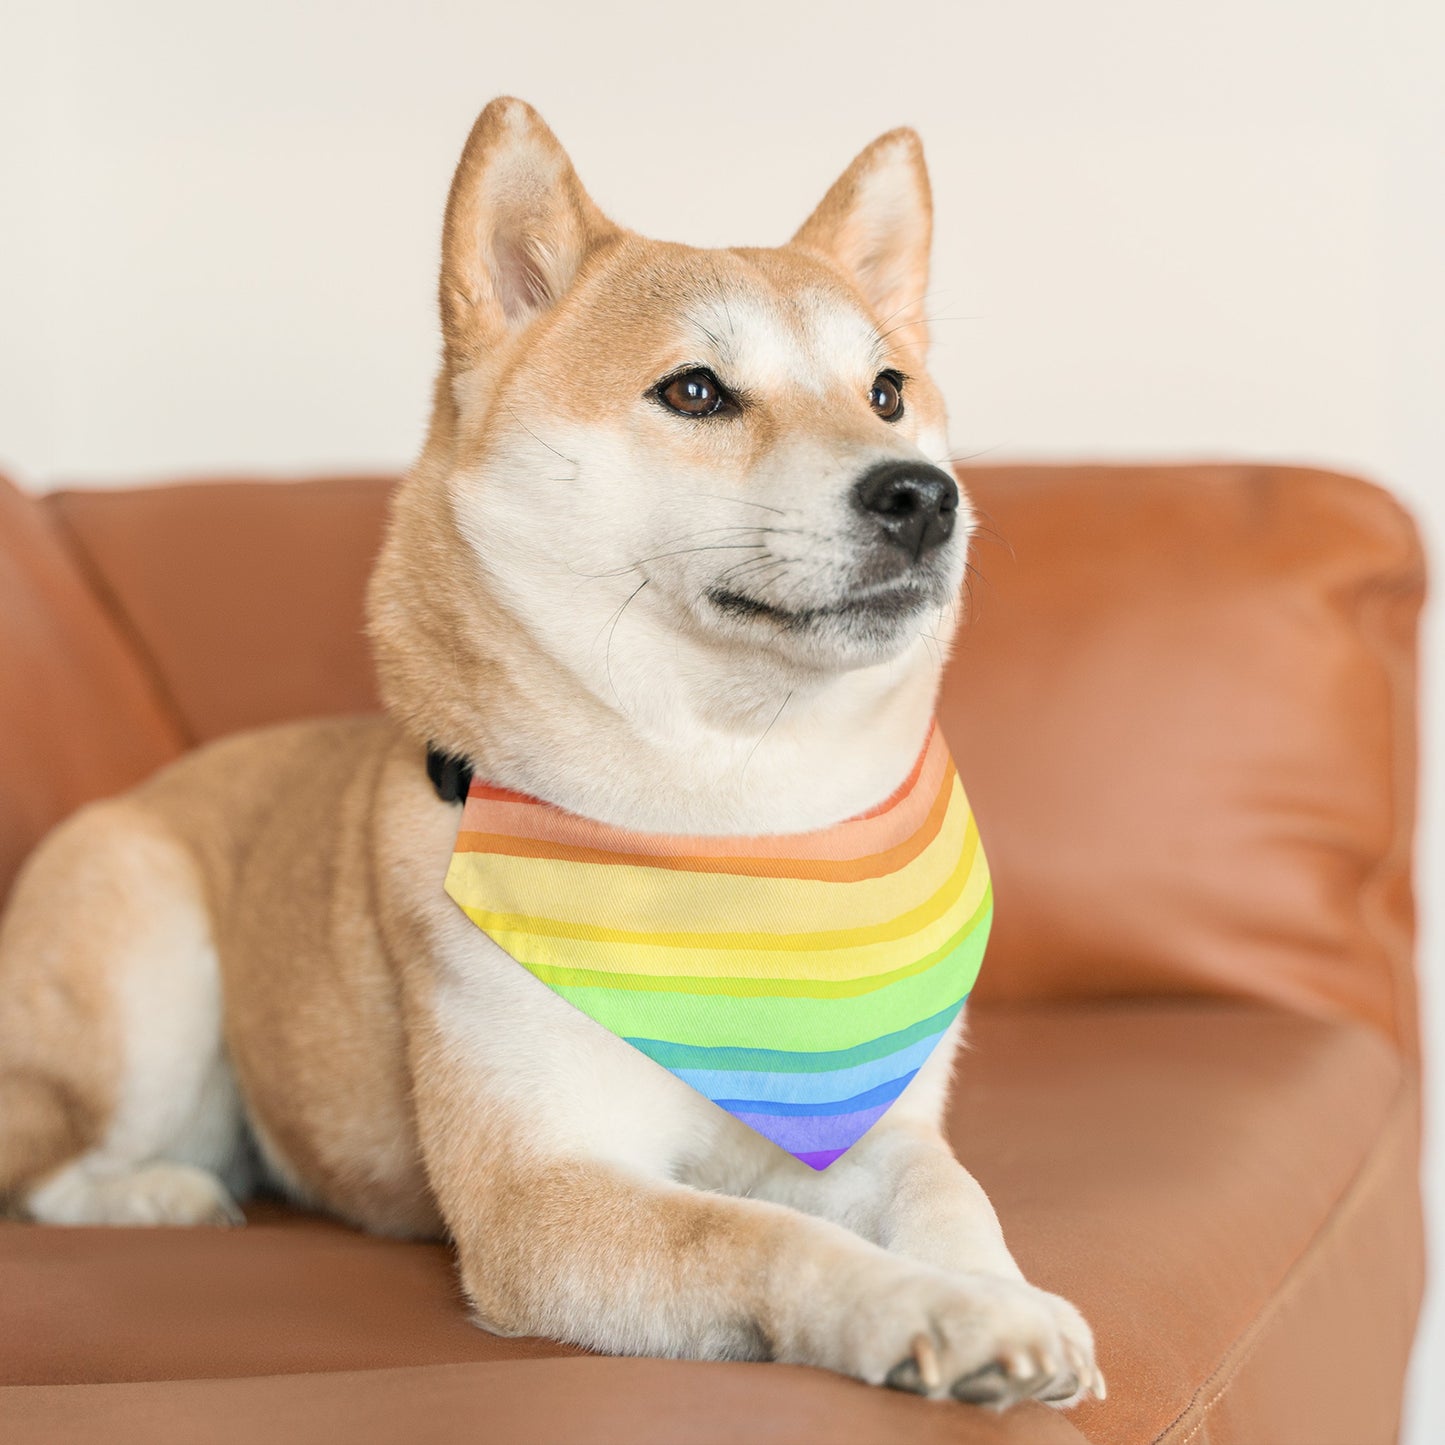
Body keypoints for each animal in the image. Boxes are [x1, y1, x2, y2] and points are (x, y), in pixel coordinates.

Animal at [0, 101, 1092, 1410]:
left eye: (886, 390)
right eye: (694, 389)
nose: (924, 495)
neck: (729, 820)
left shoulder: (874, 1126)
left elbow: (948, 1193)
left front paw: (998, 1293)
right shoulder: (541, 1195)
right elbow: (762, 1235)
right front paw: (926, 1308)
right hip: (146, 968)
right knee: (48, 1167)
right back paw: (162, 1192)